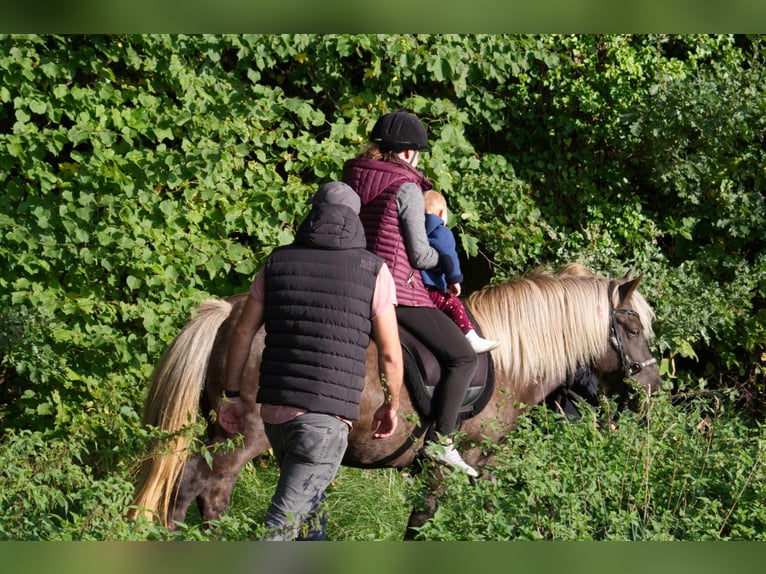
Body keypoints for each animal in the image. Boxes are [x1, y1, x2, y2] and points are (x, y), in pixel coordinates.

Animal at [130, 266, 660, 540]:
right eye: (632, 326)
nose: (653, 388)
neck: (512, 358)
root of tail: (231, 312)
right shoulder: (465, 462)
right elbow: (423, 522)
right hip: (243, 435)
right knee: (208, 487)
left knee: (190, 485)